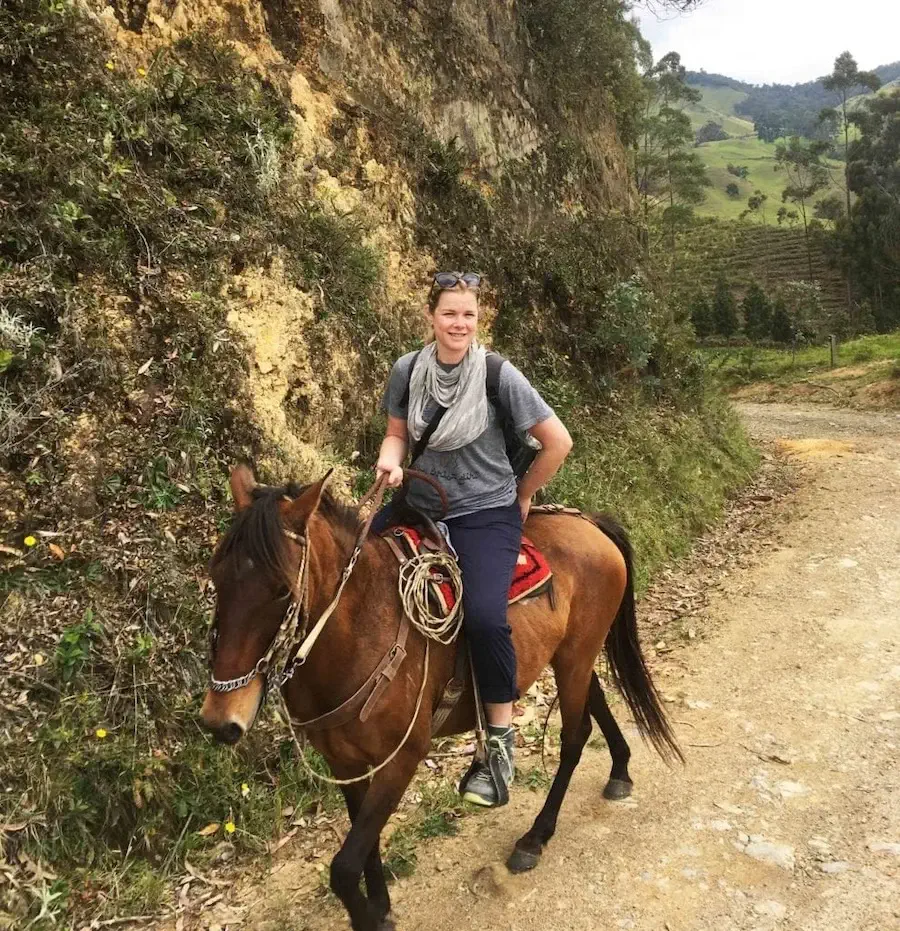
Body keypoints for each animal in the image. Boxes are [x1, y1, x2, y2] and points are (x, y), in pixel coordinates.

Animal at [200, 470, 684, 931]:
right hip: (571, 655)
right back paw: (620, 770)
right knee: (595, 702)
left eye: (282, 590)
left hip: (577, 655)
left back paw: (535, 836)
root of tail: (588, 522)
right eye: (216, 578)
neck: (360, 629)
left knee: (574, 736)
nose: (220, 720)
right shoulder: (346, 763)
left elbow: (344, 868)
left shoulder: (402, 758)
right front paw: (381, 908)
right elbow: (364, 845)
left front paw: (371, 917)